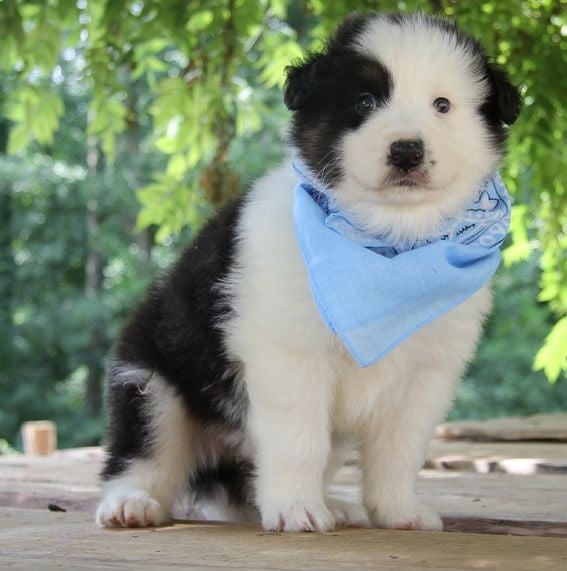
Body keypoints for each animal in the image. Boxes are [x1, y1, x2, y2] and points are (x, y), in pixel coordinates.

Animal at [96, 12, 521, 532]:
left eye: (442, 105)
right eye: (364, 102)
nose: (406, 151)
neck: (389, 241)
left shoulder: (426, 372)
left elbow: (399, 451)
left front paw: (397, 510)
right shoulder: (290, 355)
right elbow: (298, 441)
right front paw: (297, 508)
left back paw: (330, 502)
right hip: (151, 381)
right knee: (143, 454)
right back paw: (130, 503)